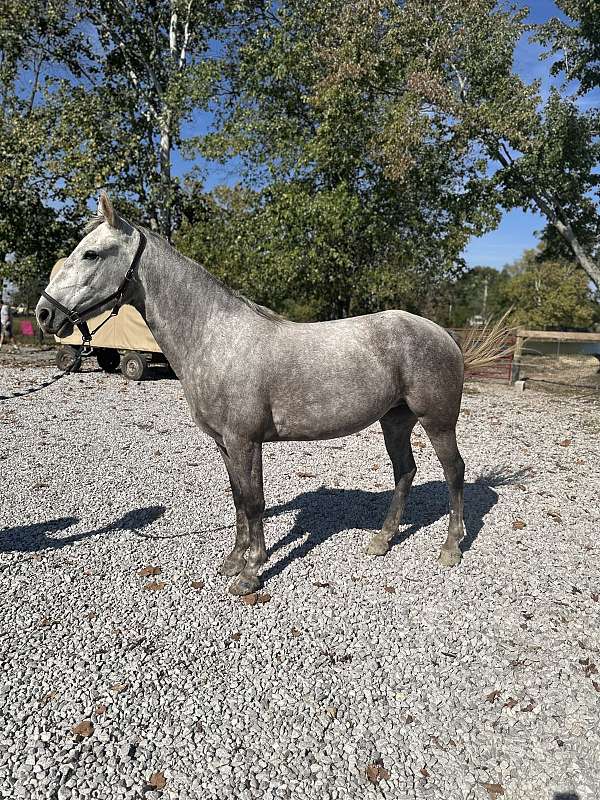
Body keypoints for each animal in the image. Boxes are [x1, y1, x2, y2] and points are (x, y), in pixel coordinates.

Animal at [38, 194, 506, 592]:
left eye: (91, 254)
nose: (45, 313)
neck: (216, 337)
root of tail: (444, 335)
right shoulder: (226, 444)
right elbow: (239, 501)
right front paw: (233, 560)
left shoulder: (246, 441)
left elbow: (255, 501)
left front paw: (251, 573)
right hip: (395, 421)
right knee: (405, 472)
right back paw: (381, 541)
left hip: (437, 421)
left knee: (454, 472)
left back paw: (450, 549)